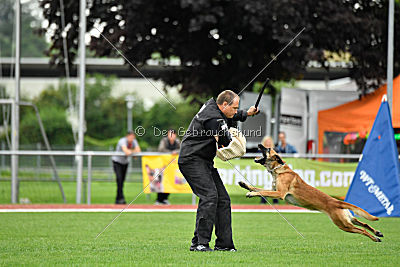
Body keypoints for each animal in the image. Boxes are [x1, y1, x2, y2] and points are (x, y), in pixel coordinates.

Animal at [239, 144, 382, 243]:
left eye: (267, 149)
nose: (258, 145)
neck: (279, 170)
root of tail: (336, 201)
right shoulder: (274, 191)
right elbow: (257, 188)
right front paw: (245, 185)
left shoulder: (279, 194)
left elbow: (261, 192)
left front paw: (251, 194)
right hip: (348, 220)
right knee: (364, 223)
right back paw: (377, 233)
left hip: (343, 224)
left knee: (362, 229)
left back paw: (375, 238)